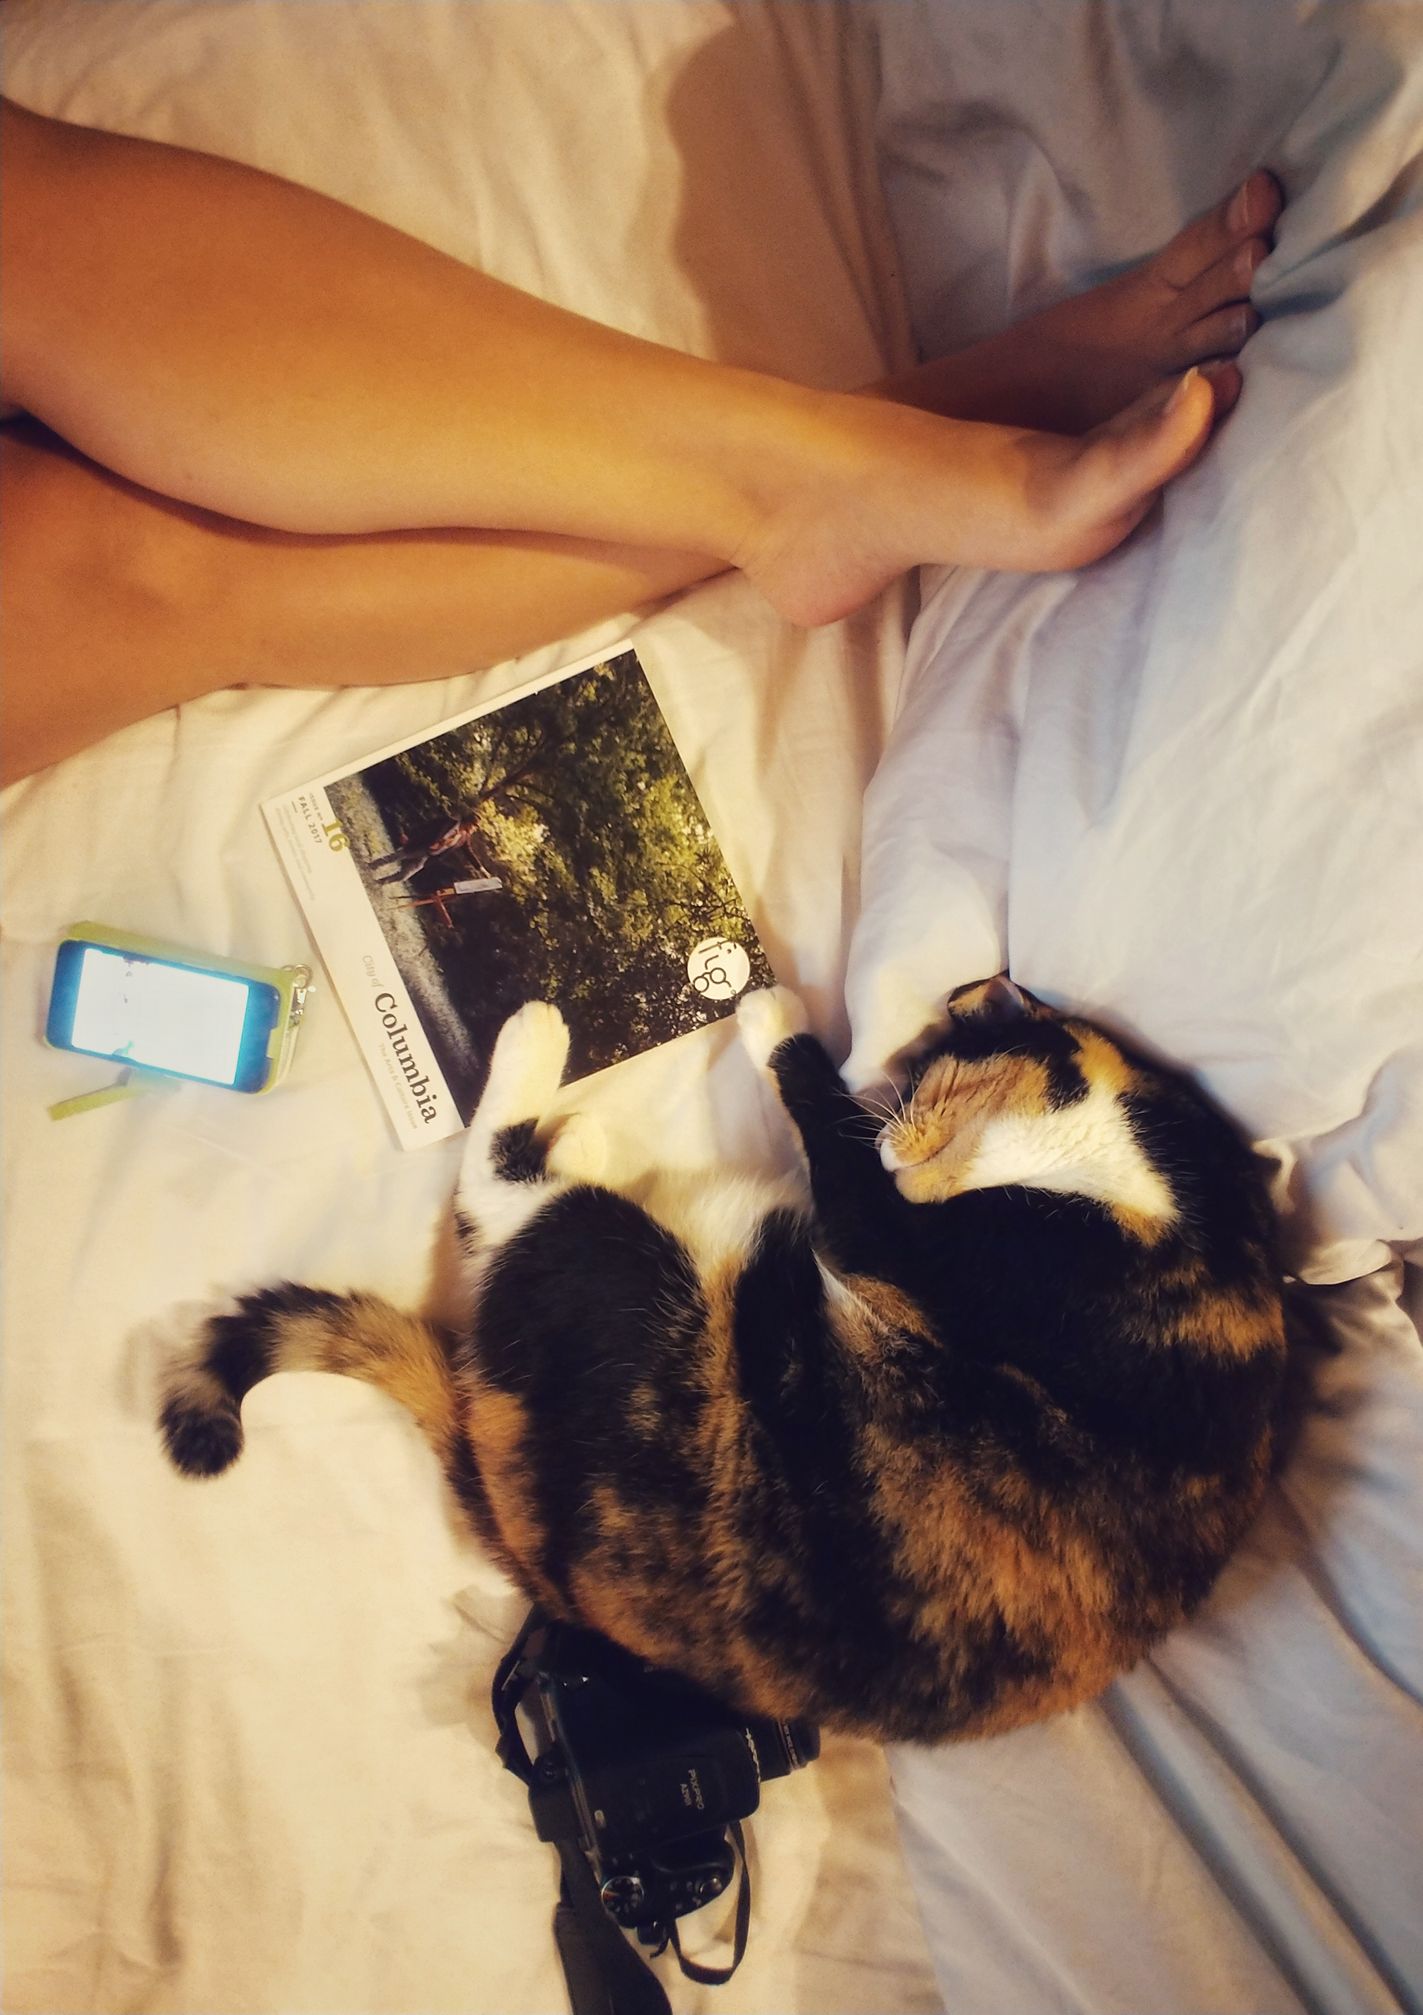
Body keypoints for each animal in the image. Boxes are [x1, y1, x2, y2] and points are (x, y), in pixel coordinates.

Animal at [158, 979, 1289, 1749]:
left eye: (927, 1076)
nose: (896, 1132)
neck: (1133, 1175)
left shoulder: (904, 1240)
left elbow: (830, 1139)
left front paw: (766, 1010)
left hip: (612, 1271)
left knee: (499, 1201)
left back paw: (541, 1044)